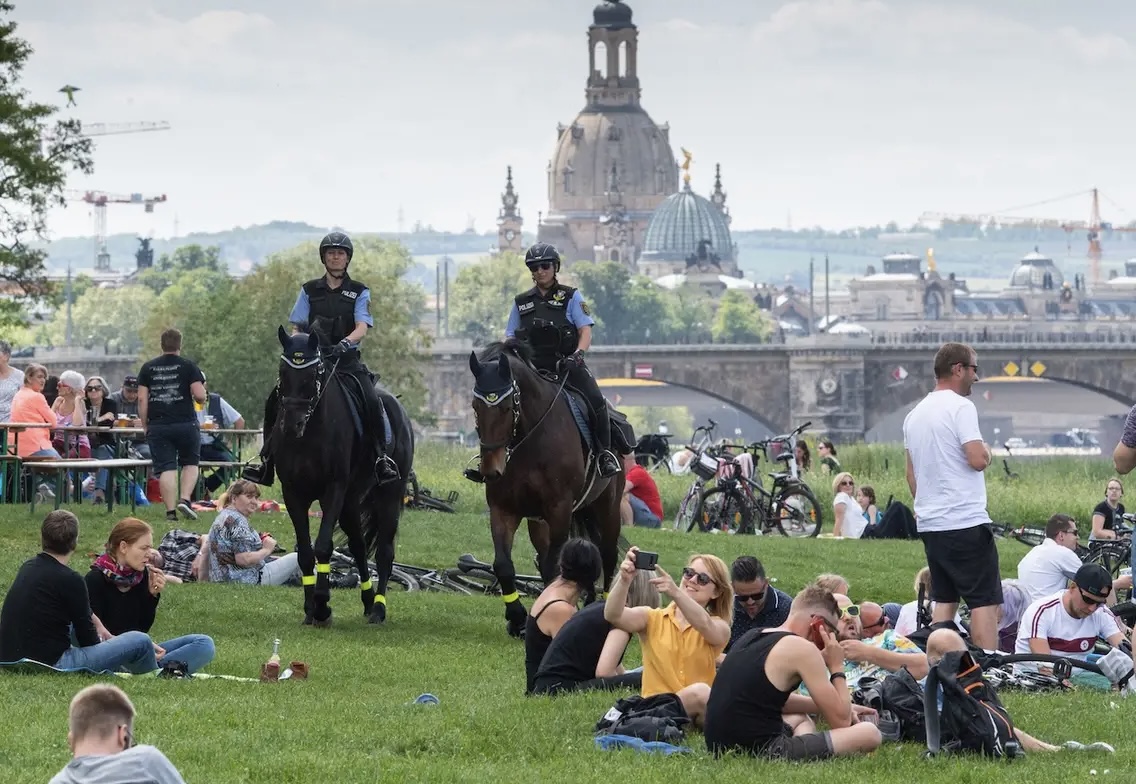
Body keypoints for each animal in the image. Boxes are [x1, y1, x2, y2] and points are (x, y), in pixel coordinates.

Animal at [270, 322, 413, 622]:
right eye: (283, 372)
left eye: (313, 373)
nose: (292, 425)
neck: (310, 433)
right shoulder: (293, 493)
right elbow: (305, 552)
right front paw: (310, 609)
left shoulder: (333, 489)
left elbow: (323, 545)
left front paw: (322, 604)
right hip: (350, 502)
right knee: (358, 546)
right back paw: (368, 601)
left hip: (388, 495)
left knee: (384, 552)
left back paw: (378, 609)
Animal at [468, 340, 622, 636]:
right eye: (475, 406)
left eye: (506, 407)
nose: (491, 470)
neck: (530, 439)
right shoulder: (504, 509)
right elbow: (503, 565)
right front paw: (517, 617)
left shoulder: (559, 509)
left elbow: (553, 565)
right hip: (539, 521)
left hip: (608, 507)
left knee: (607, 555)